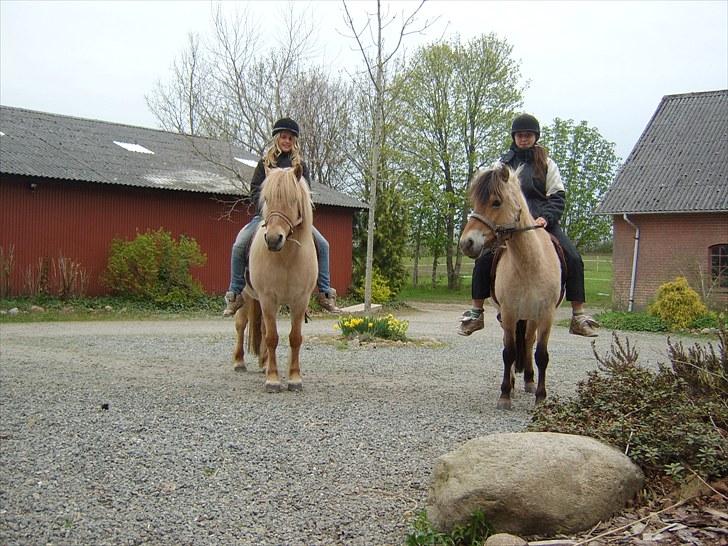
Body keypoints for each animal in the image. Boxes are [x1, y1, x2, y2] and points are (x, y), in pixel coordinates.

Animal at [233, 166, 318, 392]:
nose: (273, 239)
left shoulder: (300, 301)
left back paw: (263, 364)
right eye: (267, 199)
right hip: (247, 297)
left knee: (261, 329)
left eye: (293, 199)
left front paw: (294, 378)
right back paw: (239, 362)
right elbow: (272, 338)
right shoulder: (267, 298)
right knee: (241, 325)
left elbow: (295, 338)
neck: (286, 257)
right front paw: (272, 380)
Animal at [460, 163, 564, 408]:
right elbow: (508, 352)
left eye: (496, 202)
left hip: (532, 317)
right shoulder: (508, 314)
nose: (466, 243)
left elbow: (541, 355)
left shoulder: (546, 315)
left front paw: (540, 397)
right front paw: (505, 394)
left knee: (528, 341)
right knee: (517, 345)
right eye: (475, 202)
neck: (529, 265)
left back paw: (529, 381)